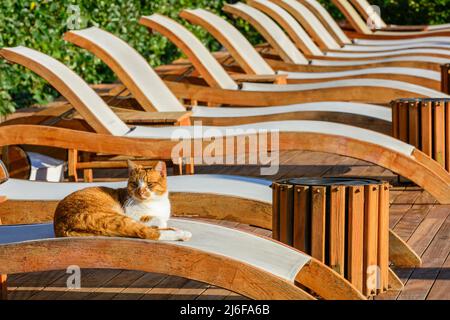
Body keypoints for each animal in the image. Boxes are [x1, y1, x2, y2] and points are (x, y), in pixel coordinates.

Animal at [54, 161, 192, 241]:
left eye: (149, 184)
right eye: (135, 184)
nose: (140, 192)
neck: (154, 202)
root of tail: (61, 227)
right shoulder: (135, 215)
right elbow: (156, 220)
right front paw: (160, 223)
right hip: (115, 218)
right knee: (149, 233)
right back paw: (182, 234)